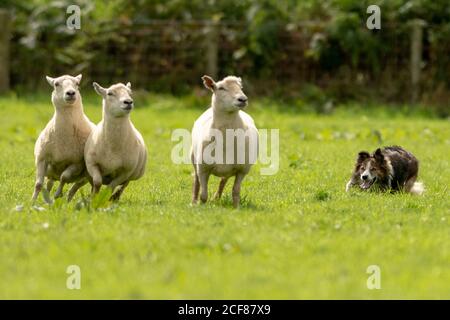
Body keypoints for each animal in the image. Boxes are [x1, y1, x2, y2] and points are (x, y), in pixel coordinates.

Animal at [32, 74, 95, 202]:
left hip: (86, 176)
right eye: (56, 84)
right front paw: (32, 201)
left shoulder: (77, 163)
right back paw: (48, 199)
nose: (70, 93)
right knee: (50, 183)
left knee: (76, 186)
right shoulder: (42, 158)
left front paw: (58, 194)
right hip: (51, 170)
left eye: (77, 84)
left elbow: (64, 177)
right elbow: (38, 184)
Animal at [191, 76, 260, 209]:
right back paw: (194, 202)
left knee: (223, 180)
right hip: (193, 158)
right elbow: (203, 194)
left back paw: (216, 198)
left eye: (241, 87)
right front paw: (202, 207)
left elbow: (236, 191)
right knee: (196, 181)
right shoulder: (203, 168)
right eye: (221, 88)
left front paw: (236, 208)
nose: (243, 99)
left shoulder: (242, 170)